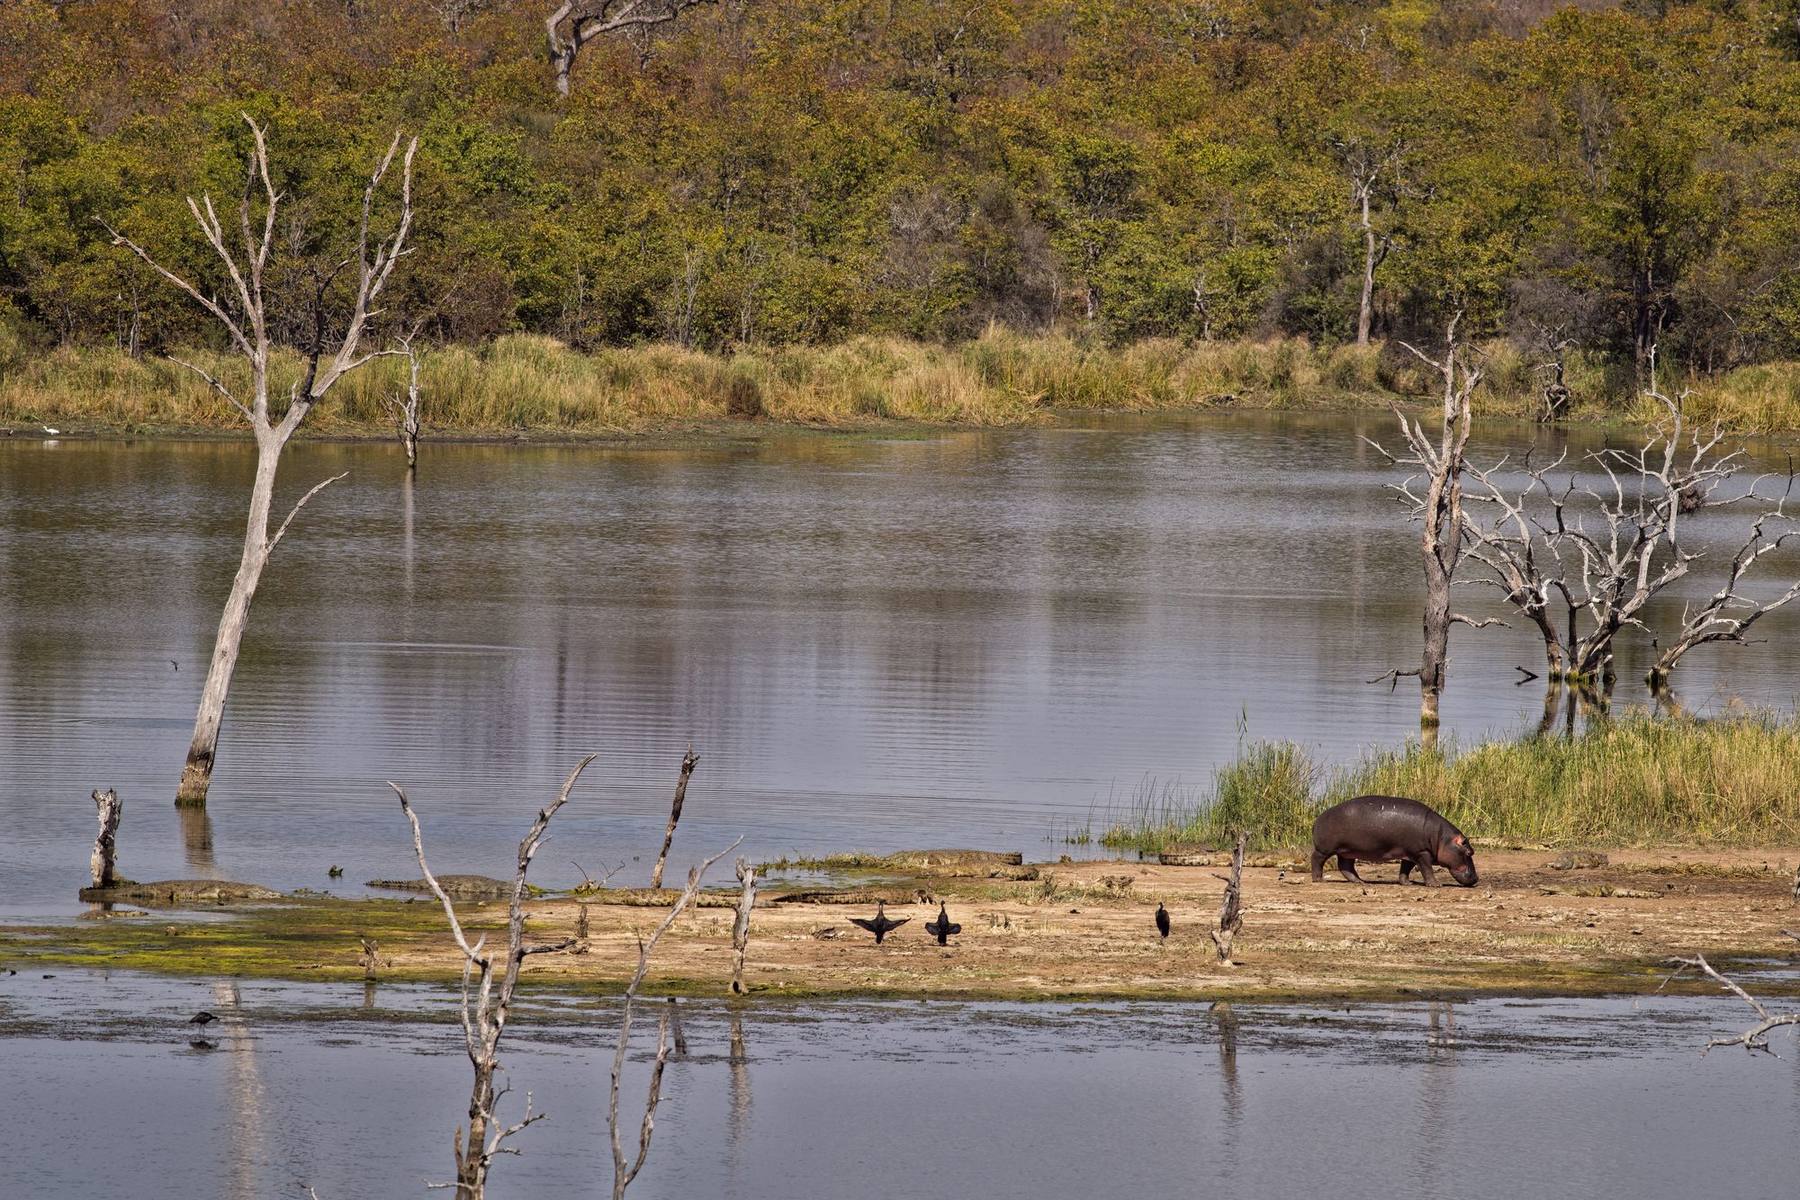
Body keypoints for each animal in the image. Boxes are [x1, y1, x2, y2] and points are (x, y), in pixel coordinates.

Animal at [1310, 795, 1478, 887]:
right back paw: (1319, 879)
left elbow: (1405, 869)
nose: (1476, 878)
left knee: (1346, 867)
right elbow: (1427, 869)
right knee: (1317, 859)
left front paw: (1407, 883)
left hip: (1348, 851)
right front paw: (1436, 885)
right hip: (1325, 849)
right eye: (1470, 852)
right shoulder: (1422, 852)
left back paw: (1360, 882)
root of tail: (1317, 819)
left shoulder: (1409, 853)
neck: (1441, 838)